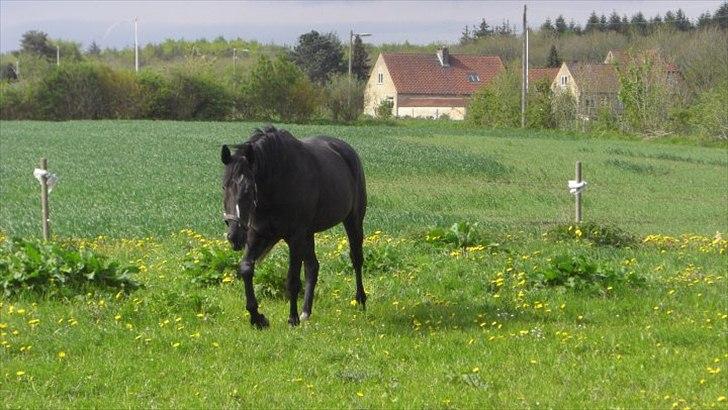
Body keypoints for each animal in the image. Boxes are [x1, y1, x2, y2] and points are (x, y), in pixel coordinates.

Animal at [220, 125, 370, 326]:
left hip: (352, 220)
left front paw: (292, 319)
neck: (278, 184)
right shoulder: (257, 234)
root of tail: (347, 151)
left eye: (249, 188)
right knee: (313, 267)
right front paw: (257, 317)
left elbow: (292, 279)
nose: (234, 236)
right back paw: (306, 312)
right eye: (224, 186)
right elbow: (245, 268)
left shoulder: (295, 237)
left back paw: (360, 300)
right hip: (309, 234)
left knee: (356, 259)